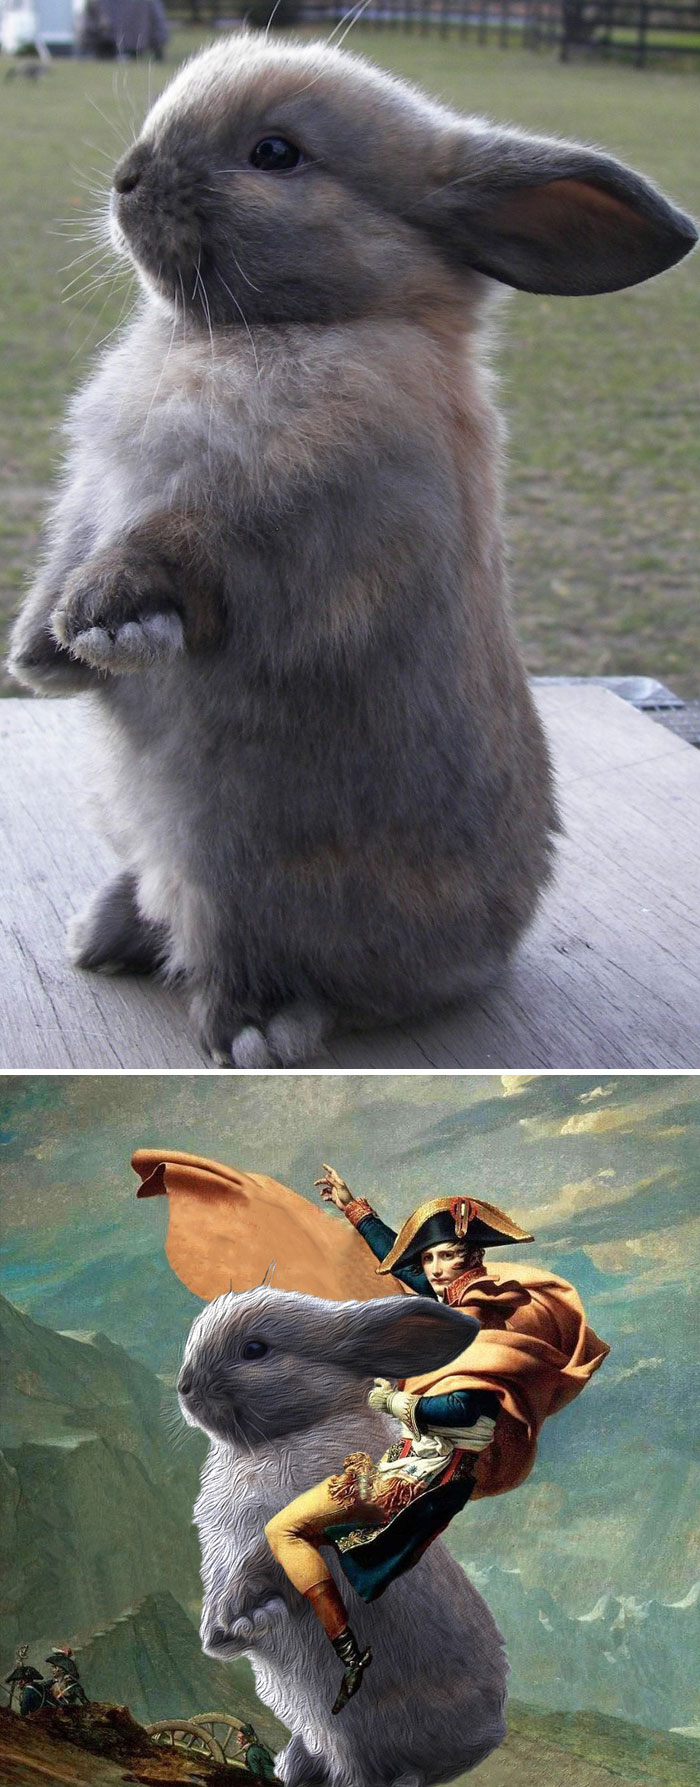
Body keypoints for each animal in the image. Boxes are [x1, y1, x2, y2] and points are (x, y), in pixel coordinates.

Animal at [8, 34, 697, 1067]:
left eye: (276, 154)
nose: (127, 180)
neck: (317, 321)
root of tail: (484, 955)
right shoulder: (90, 500)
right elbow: (66, 556)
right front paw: (40, 653)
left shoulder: (293, 526)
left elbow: (183, 555)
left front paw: (108, 620)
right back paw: (102, 933)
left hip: (253, 887)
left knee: (281, 969)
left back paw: (250, 1023)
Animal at [177, 1285, 509, 1787]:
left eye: (254, 1349)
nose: (184, 1386)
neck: (296, 1430)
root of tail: (487, 1738)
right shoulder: (223, 1555)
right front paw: (219, 1637)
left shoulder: (280, 1539)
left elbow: (262, 1575)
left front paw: (245, 1621)